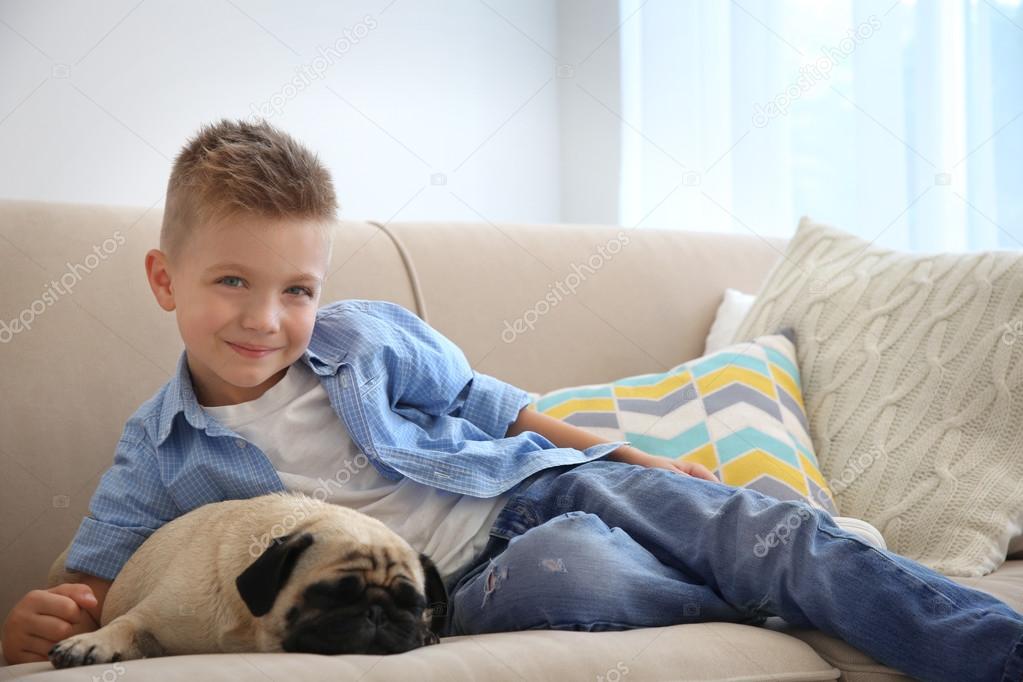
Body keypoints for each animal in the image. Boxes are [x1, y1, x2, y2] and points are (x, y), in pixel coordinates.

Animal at [47, 492, 448, 670]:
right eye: (327, 596)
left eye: (414, 605)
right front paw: (89, 642)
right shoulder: (152, 619)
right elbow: (124, 624)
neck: (251, 632)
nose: (376, 612)